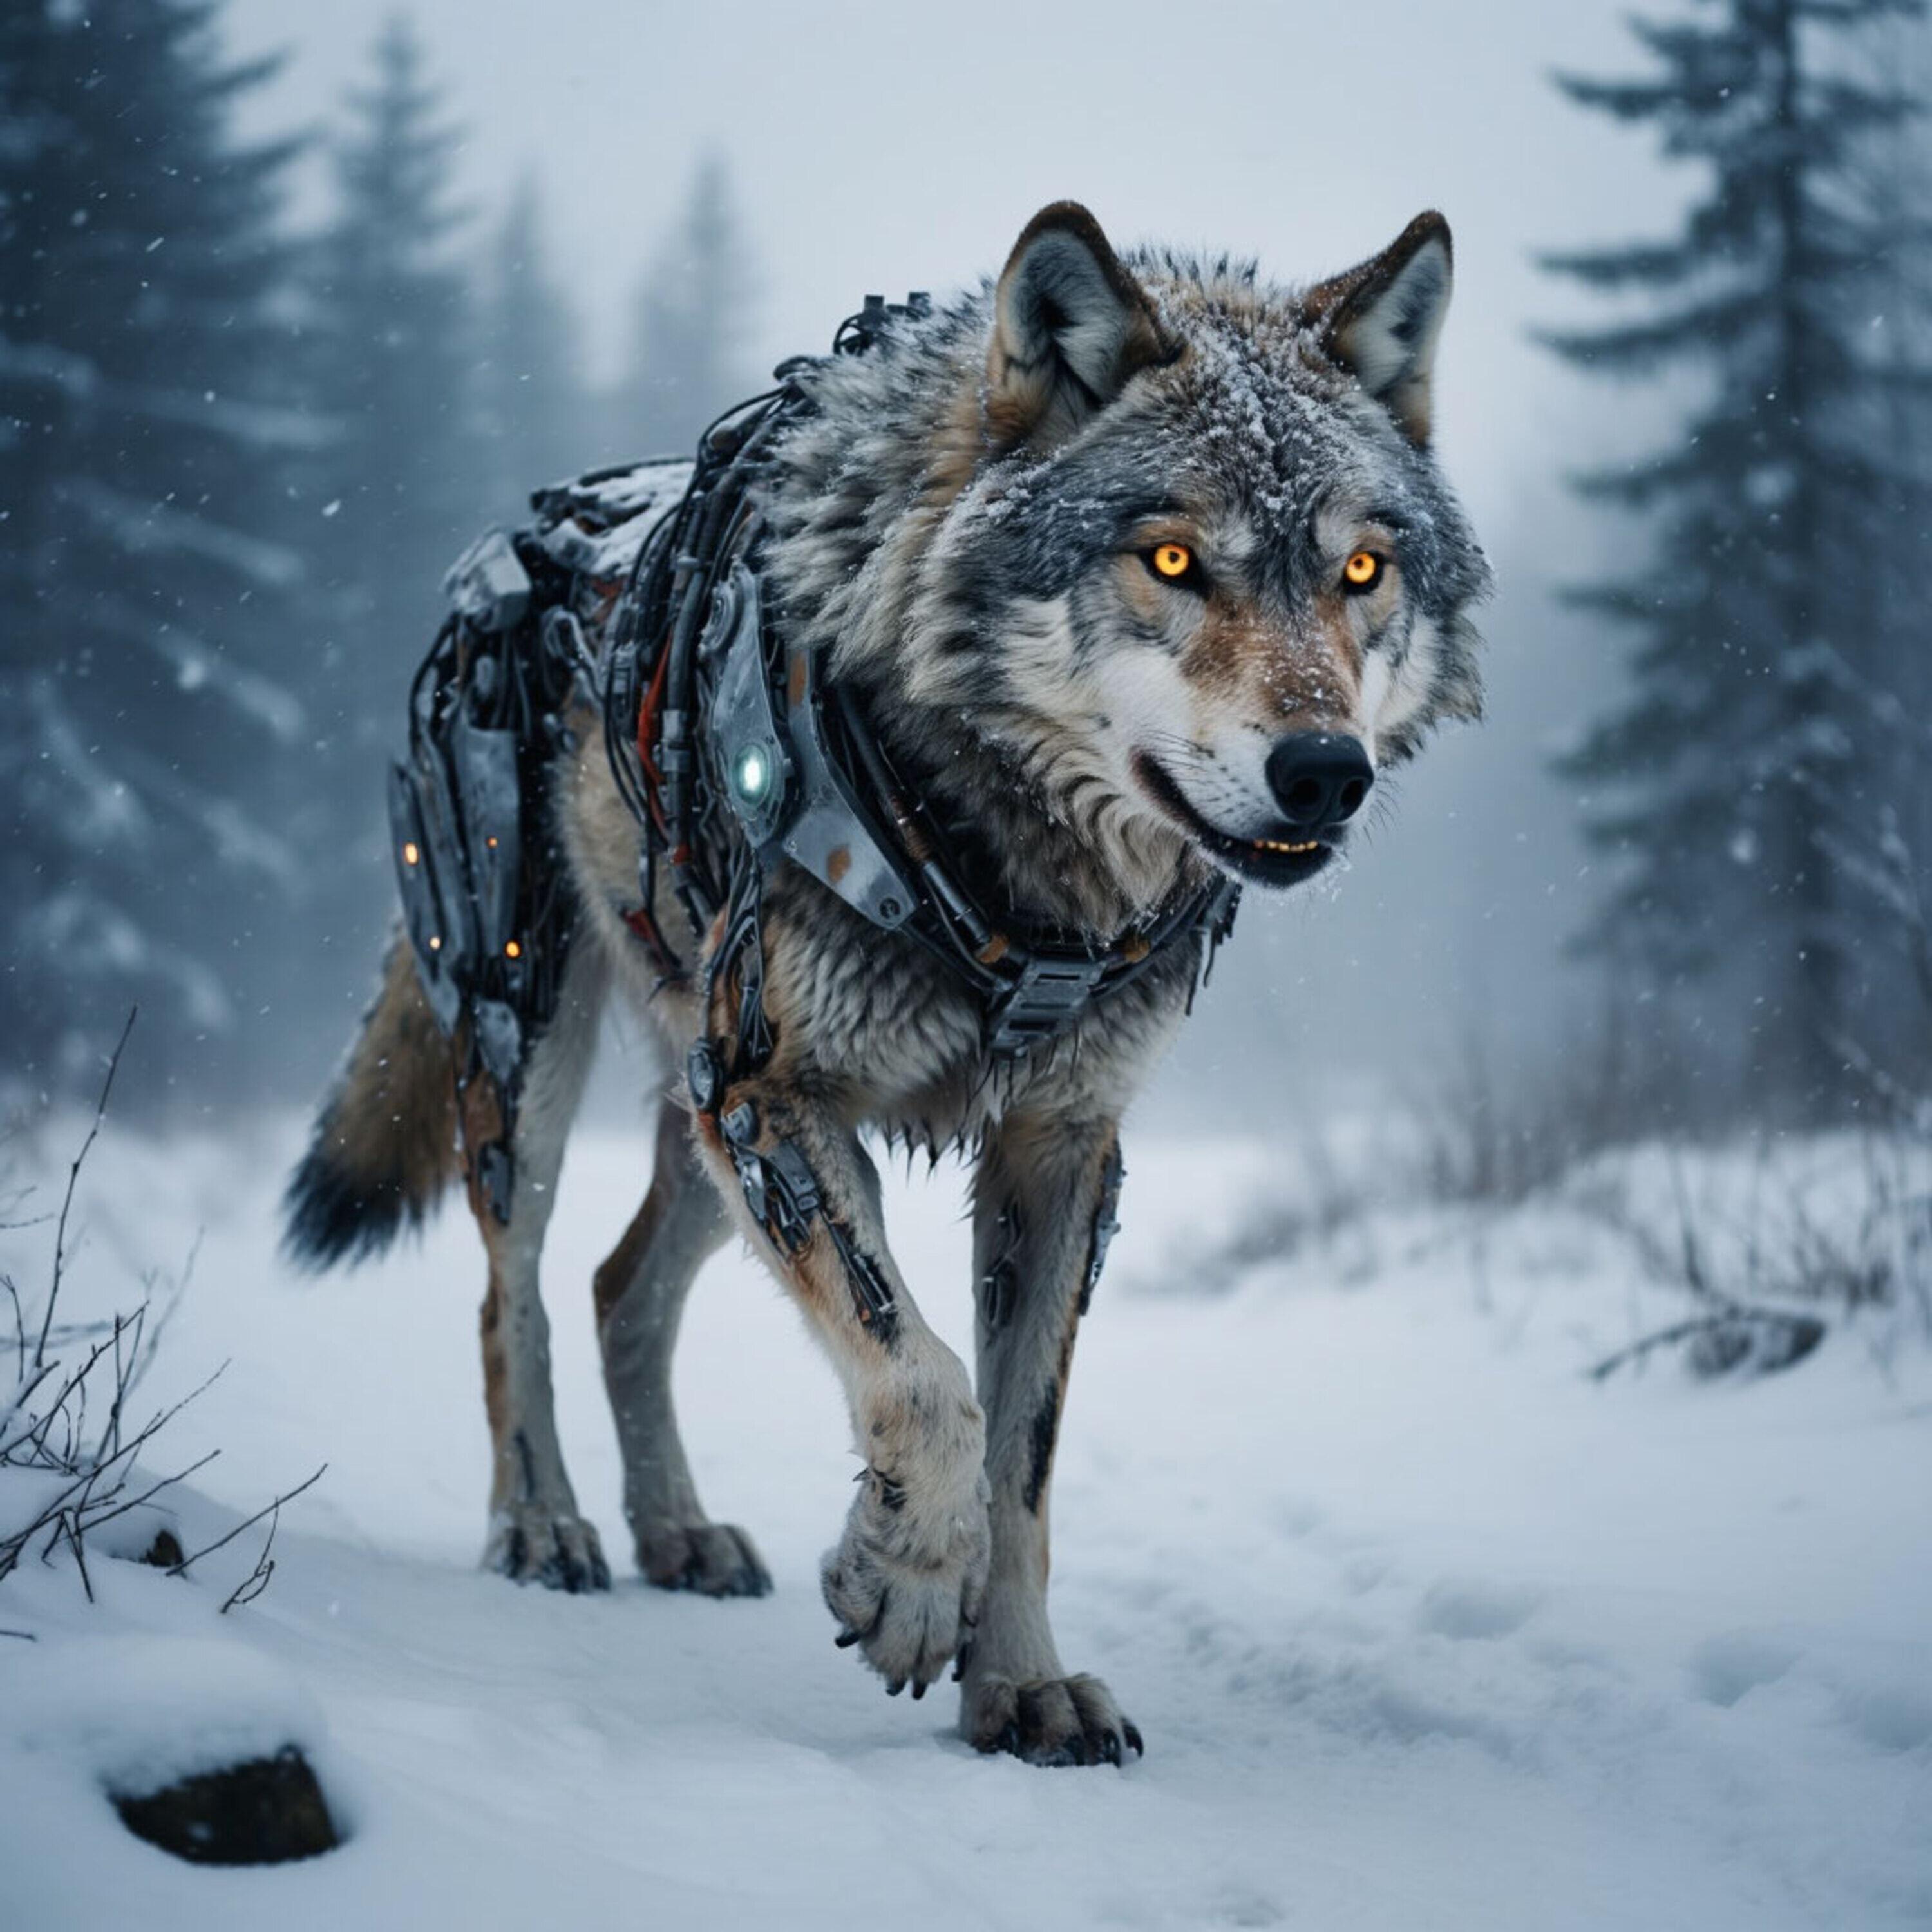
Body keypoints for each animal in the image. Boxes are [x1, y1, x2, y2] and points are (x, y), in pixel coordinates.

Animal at [285, 202, 1489, 1767]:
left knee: (619, 1289)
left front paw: (1023, 1686)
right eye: (1171, 562)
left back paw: (677, 1533)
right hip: (538, 1043)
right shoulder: (778, 1096)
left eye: (1359, 574)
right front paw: (902, 1588)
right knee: (518, 1296)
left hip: (696, 1110)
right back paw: (544, 1529)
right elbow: (924, 1384)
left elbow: (1021, 1453)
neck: (1020, 883)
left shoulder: (1059, 1150)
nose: (1326, 772)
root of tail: (514, 532)